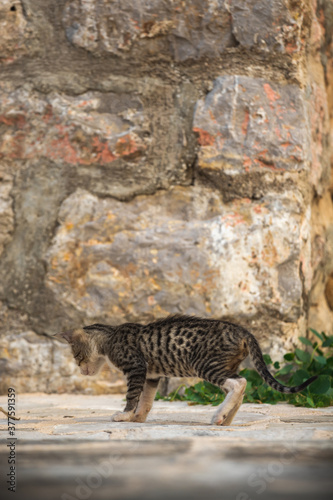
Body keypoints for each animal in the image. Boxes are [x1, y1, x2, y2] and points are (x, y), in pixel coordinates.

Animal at [53, 314, 316, 424]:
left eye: (77, 356)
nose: (81, 370)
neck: (110, 336)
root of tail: (242, 330)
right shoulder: (152, 375)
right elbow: (146, 400)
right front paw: (138, 418)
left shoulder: (135, 368)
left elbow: (131, 396)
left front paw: (125, 415)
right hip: (224, 365)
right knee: (240, 388)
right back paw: (225, 418)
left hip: (205, 365)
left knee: (239, 383)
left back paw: (219, 415)